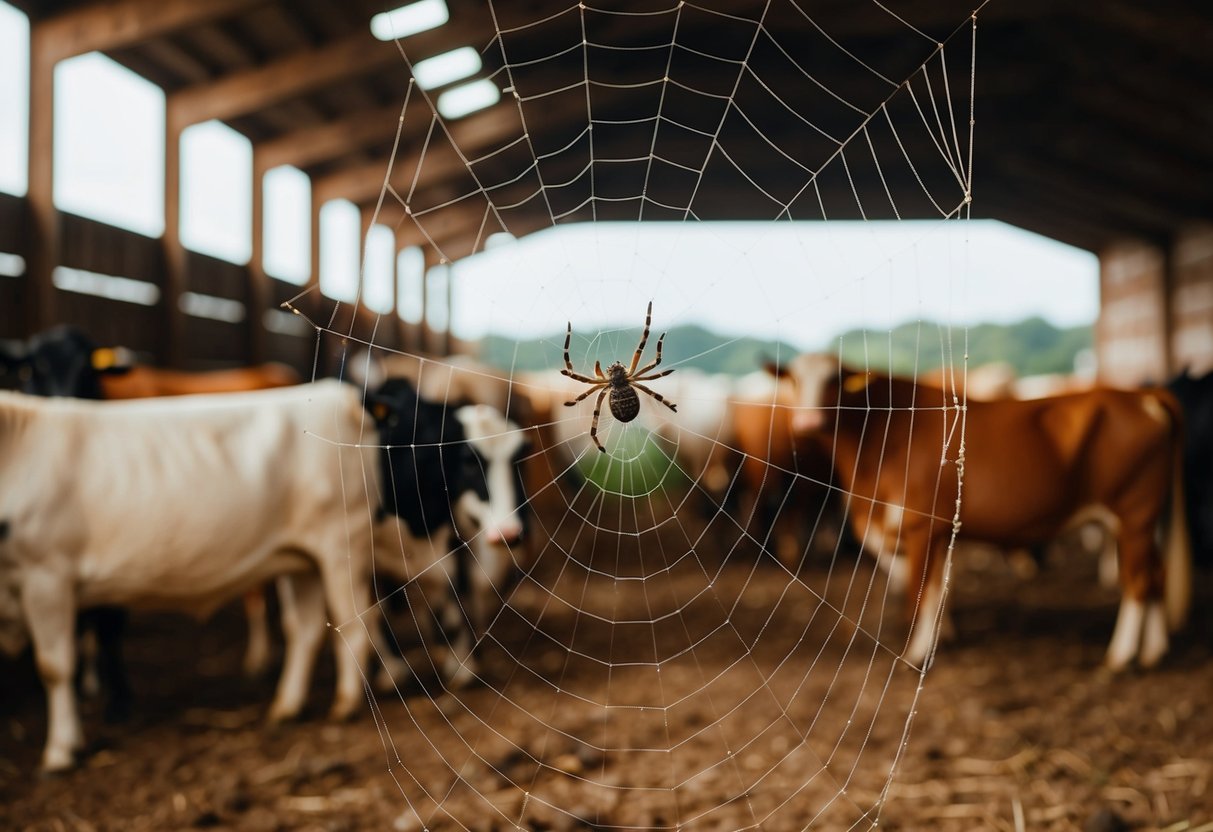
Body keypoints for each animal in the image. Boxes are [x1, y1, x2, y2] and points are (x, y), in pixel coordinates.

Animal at [0, 380, 376, 771]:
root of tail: (336, 392)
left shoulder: (46, 575)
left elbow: (54, 667)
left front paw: (59, 752)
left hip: (341, 545)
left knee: (353, 622)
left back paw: (346, 704)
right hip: (301, 561)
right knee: (305, 629)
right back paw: (286, 707)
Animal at [368, 380, 531, 688]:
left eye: (521, 458)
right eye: (469, 461)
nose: (511, 532)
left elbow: (459, 595)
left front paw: (463, 663)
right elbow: (373, 610)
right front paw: (390, 670)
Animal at [776, 354, 1183, 674]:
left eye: (835, 380)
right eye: (793, 380)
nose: (806, 423)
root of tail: (1141, 396)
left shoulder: (921, 527)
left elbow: (920, 593)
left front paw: (916, 654)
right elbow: (934, 589)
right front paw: (940, 638)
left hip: (1133, 512)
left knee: (1138, 582)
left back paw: (1120, 656)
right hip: (1144, 521)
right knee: (1158, 574)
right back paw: (1154, 652)